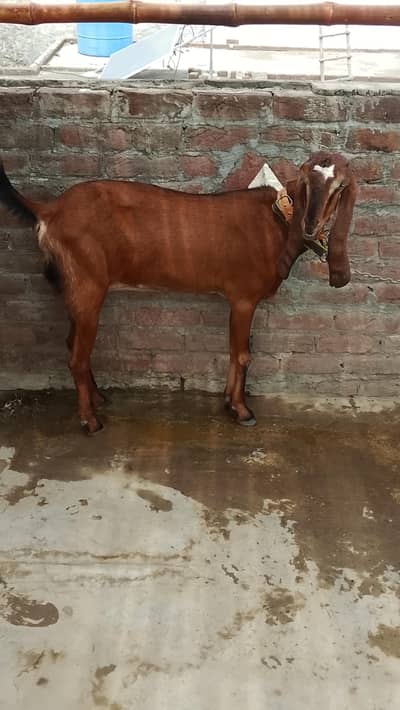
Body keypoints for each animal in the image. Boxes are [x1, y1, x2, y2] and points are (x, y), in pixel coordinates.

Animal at [0, 151, 356, 434]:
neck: (276, 221)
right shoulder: (243, 297)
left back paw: (99, 398)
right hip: (87, 286)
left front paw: (228, 402)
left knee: (72, 343)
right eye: (306, 181)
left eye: (339, 188)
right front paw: (242, 411)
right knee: (77, 355)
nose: (310, 227)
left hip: (78, 290)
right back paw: (90, 421)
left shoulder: (236, 299)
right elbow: (242, 355)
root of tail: (49, 210)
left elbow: (232, 351)